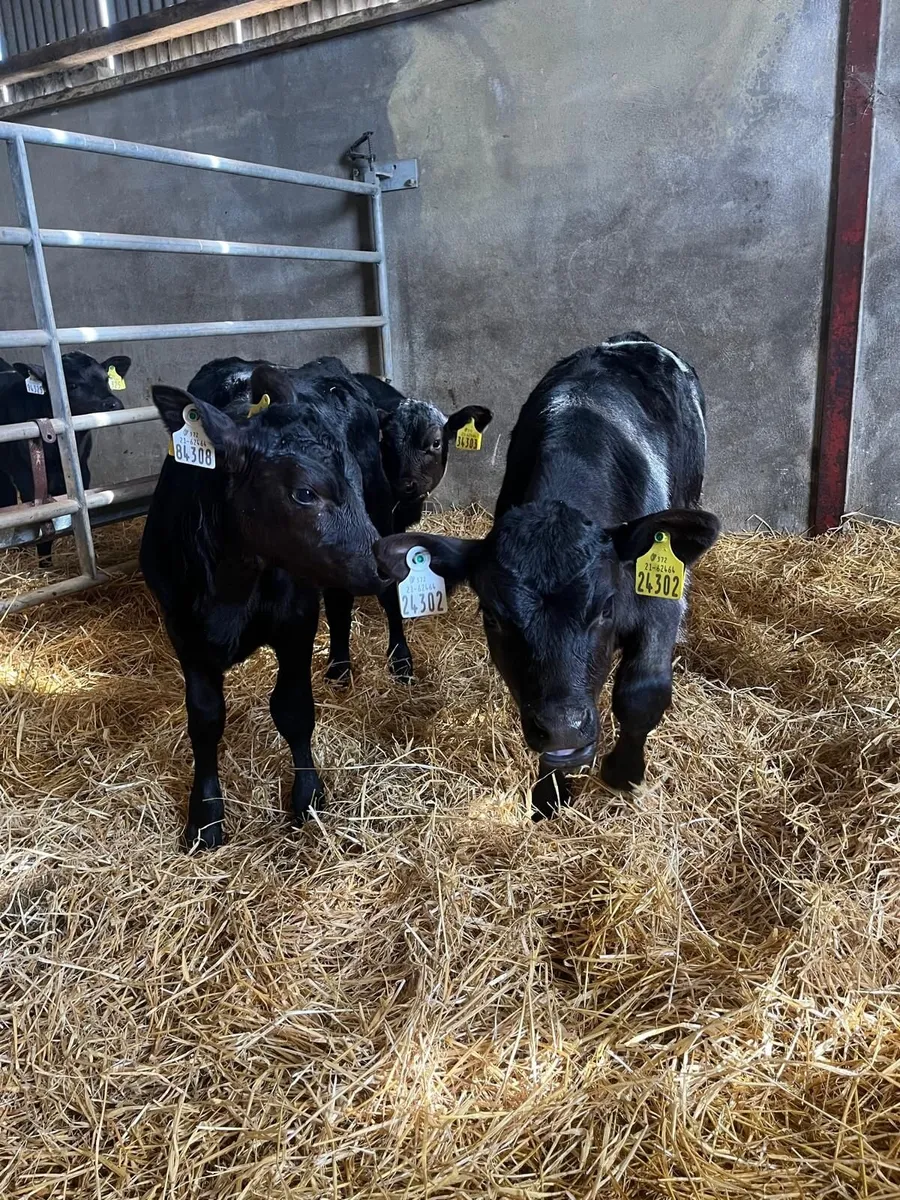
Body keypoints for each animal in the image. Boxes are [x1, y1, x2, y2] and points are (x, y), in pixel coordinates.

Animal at [0, 352, 130, 565]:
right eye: (73, 385)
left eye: (106, 379)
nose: (114, 404)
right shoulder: (29, 483)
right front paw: (45, 565)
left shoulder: (83, 472)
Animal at [140, 362, 389, 851]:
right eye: (305, 493)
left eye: (349, 478)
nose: (386, 563)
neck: (230, 588)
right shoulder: (184, 634)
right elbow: (205, 719)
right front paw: (205, 816)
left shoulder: (297, 621)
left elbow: (293, 709)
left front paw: (307, 797)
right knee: (341, 603)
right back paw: (339, 666)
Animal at [374, 334, 720, 819]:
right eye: (493, 617)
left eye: (607, 608)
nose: (563, 728)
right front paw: (549, 795)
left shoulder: (659, 602)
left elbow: (642, 693)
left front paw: (624, 772)